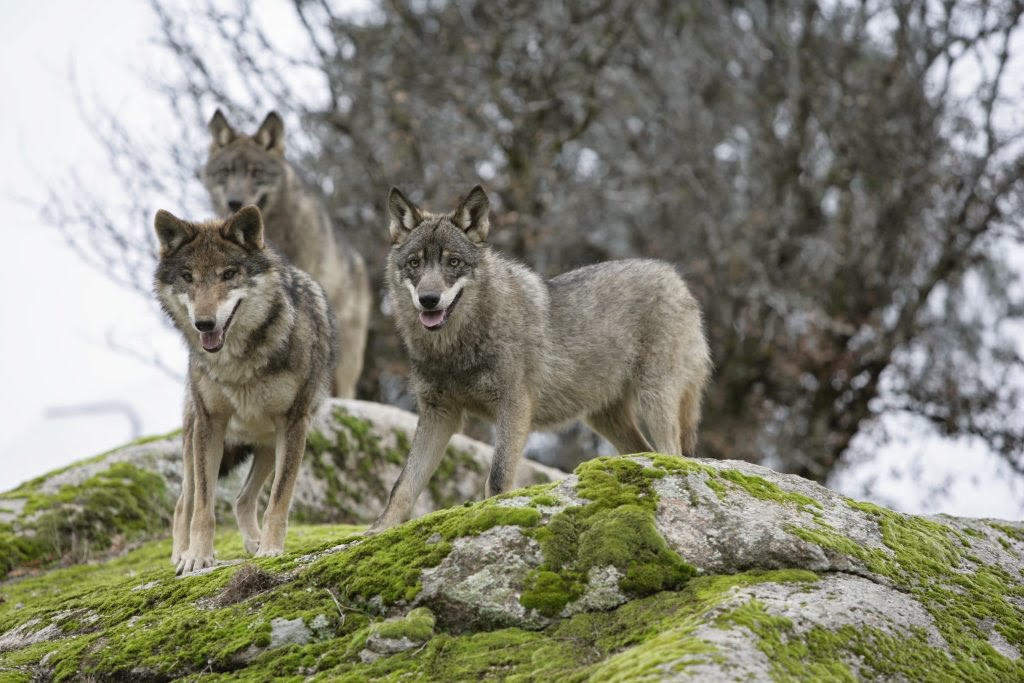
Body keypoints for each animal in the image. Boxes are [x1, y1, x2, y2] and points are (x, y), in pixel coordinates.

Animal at [153, 202, 335, 573]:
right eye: (188, 277)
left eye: (228, 274)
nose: (204, 323)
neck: (237, 363)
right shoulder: (210, 424)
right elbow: (204, 507)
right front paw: (197, 557)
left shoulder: (294, 424)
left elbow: (278, 500)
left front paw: (270, 549)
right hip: (194, 441)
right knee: (183, 503)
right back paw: (180, 553)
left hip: (268, 445)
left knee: (241, 499)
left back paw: (254, 543)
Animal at [368, 187, 712, 532]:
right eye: (414, 263)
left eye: (453, 262)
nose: (428, 300)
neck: (454, 349)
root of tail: (675, 277)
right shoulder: (439, 414)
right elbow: (402, 486)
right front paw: (378, 530)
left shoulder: (514, 405)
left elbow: (497, 478)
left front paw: (492, 515)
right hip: (605, 418)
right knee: (646, 452)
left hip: (654, 401)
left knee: (673, 454)